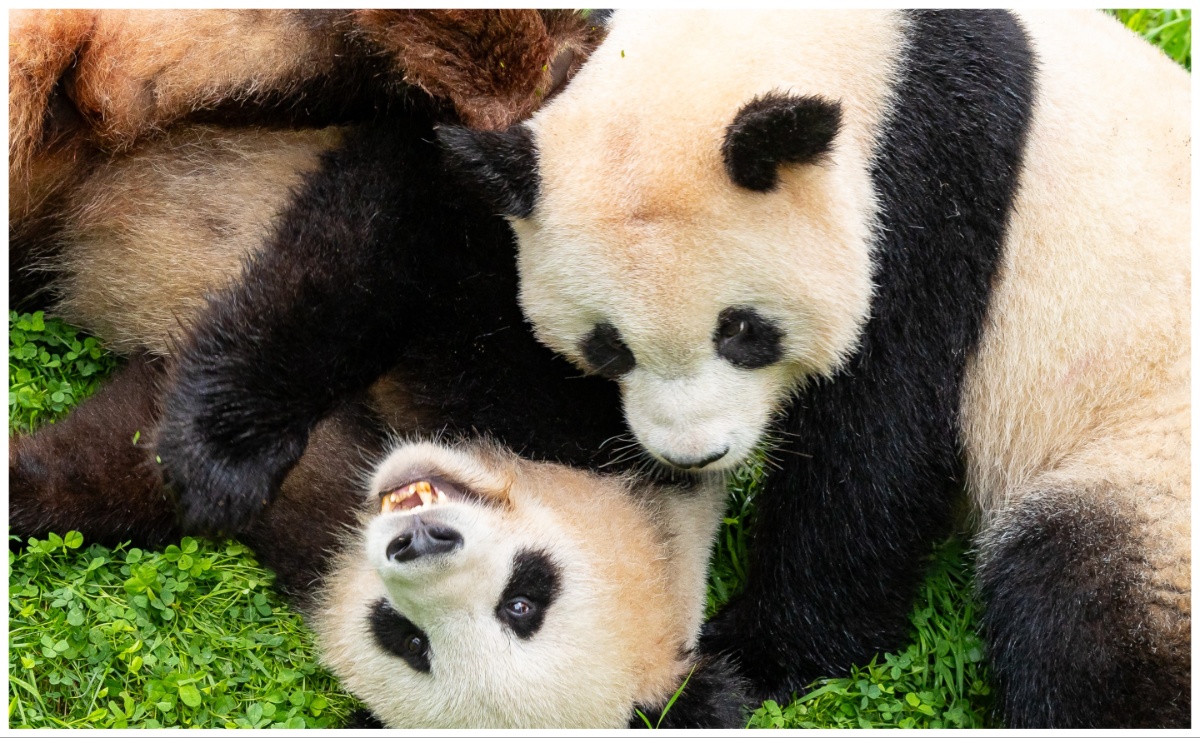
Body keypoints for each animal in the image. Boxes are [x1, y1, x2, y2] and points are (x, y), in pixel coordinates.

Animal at [437, 9, 1191, 729]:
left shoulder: (933, 188)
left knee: (1087, 609)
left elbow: (878, 442)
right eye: (608, 346)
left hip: (1147, 458)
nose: (693, 455)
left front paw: (755, 657)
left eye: (744, 332)